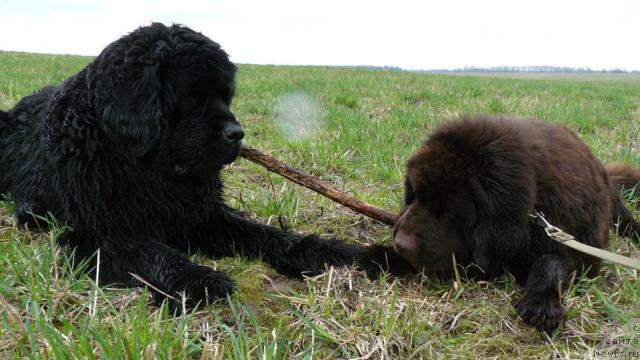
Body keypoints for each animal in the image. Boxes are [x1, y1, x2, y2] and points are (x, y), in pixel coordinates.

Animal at [0, 23, 360, 306]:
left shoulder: (204, 216)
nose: (237, 133)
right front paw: (197, 279)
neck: (140, 167)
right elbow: (149, 251)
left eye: (226, 96)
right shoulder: (93, 231)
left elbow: (267, 234)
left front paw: (331, 253)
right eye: (192, 96)